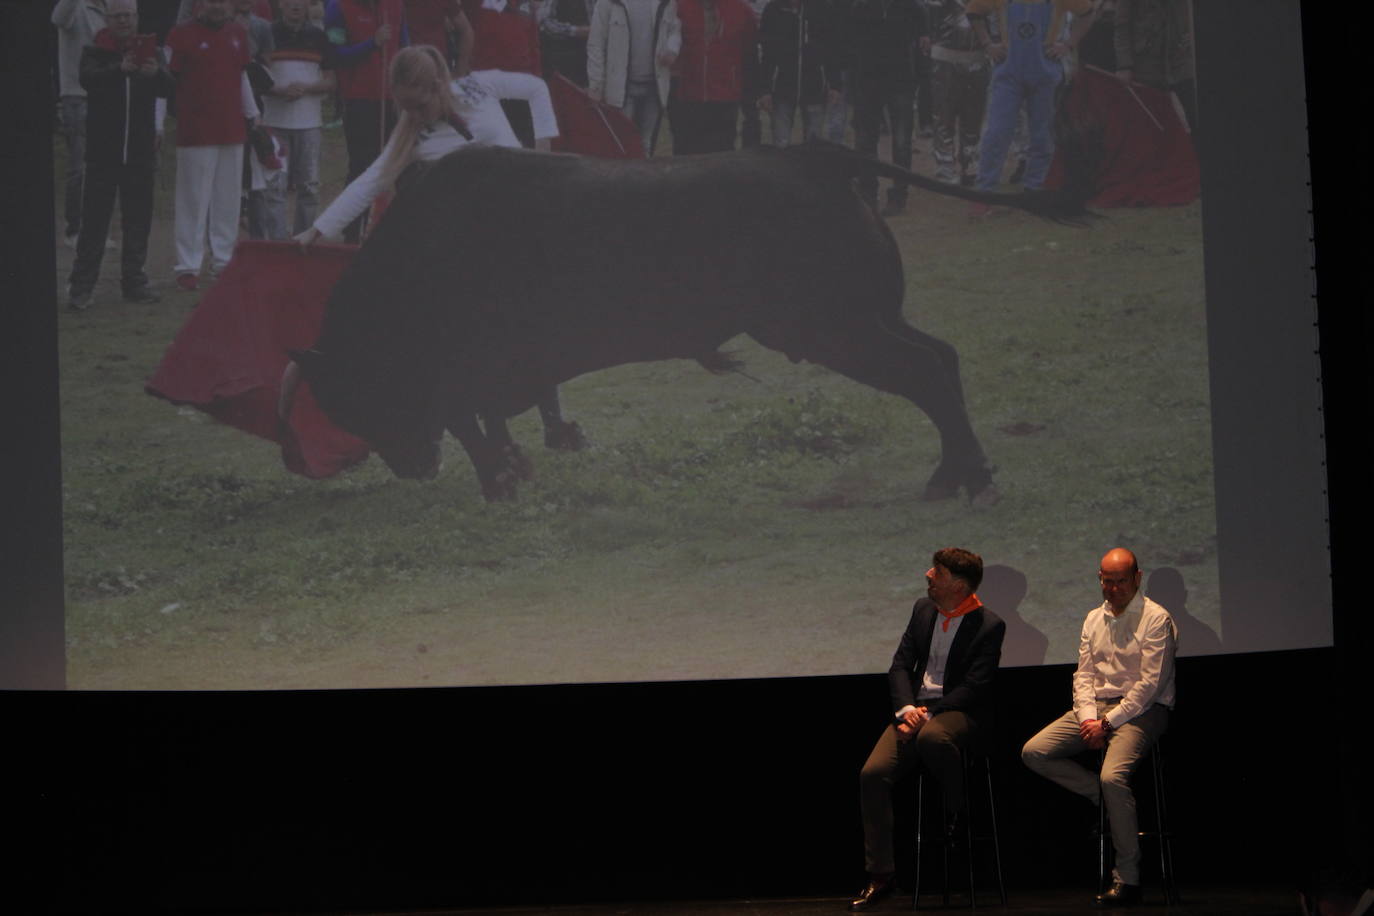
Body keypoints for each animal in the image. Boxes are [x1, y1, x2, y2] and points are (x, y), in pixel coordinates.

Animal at [284, 140, 1088, 505]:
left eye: (353, 399)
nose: (412, 468)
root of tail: (815, 159)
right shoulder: (499, 372)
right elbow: (488, 415)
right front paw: (513, 467)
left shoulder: (473, 367)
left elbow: (464, 413)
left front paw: (499, 478)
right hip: (858, 321)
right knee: (940, 358)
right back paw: (963, 470)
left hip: (833, 329)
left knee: (923, 369)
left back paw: (955, 476)